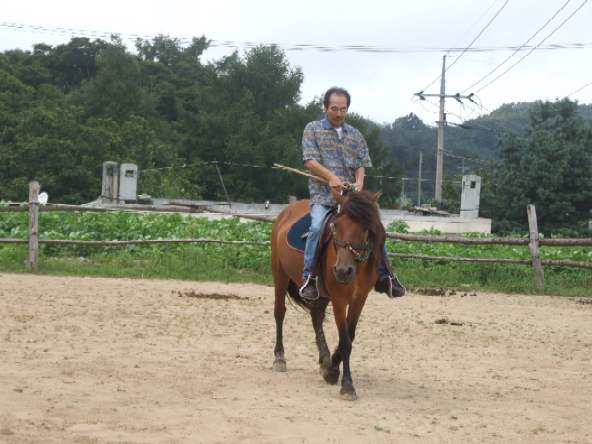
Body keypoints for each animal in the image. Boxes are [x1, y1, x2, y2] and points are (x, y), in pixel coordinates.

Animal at [270, 187, 386, 398]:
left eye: (365, 228)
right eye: (336, 226)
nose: (342, 271)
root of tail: (286, 211)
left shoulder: (360, 299)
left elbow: (350, 336)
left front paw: (331, 367)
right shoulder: (340, 299)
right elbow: (345, 340)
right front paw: (346, 385)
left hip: (320, 293)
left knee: (316, 317)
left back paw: (324, 360)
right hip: (280, 275)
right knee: (279, 312)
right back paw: (280, 358)